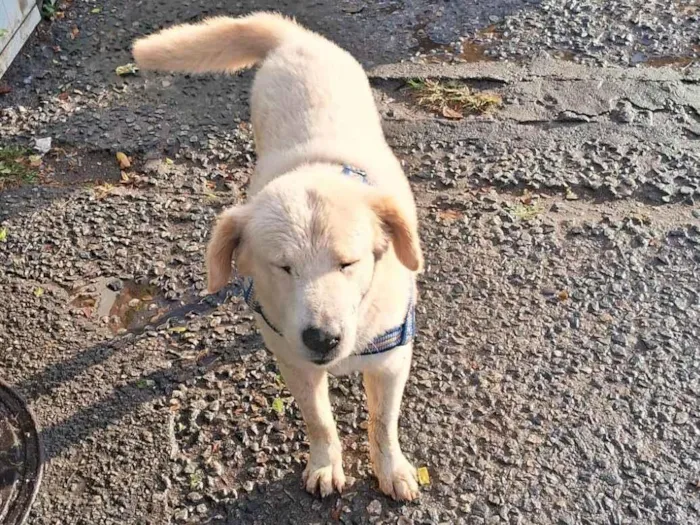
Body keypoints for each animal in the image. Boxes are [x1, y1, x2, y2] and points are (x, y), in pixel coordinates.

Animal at [134, 12, 424, 500]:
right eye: (283, 267)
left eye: (348, 263)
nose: (322, 339)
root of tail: (295, 37)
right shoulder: (294, 363)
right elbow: (319, 420)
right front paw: (326, 463)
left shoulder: (390, 362)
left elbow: (383, 423)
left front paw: (392, 468)